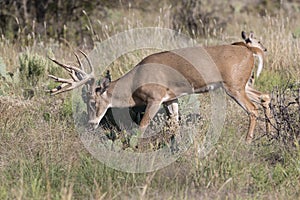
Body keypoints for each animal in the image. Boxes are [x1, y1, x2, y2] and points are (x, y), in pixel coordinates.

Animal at [47, 30, 272, 144]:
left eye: (93, 101)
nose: (91, 124)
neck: (135, 83)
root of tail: (249, 51)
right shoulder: (171, 98)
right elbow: (174, 125)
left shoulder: (155, 98)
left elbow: (142, 126)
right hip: (242, 84)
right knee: (265, 96)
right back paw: (269, 134)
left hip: (234, 86)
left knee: (252, 109)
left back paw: (248, 141)